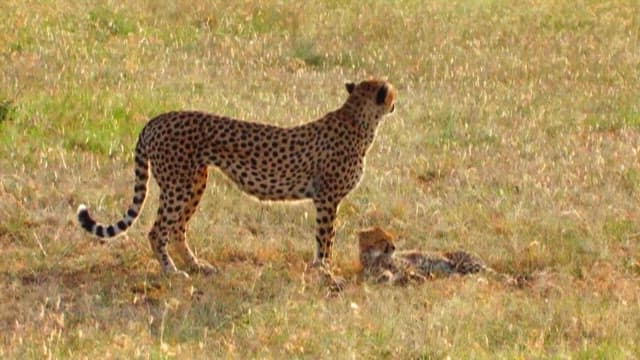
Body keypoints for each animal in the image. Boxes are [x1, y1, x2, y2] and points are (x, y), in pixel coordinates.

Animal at [77, 79, 398, 278]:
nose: (396, 102)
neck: (358, 118)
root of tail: (156, 120)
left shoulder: (325, 198)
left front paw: (321, 269)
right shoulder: (327, 198)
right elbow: (325, 237)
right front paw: (325, 271)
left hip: (195, 182)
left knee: (178, 229)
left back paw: (197, 265)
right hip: (179, 184)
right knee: (157, 231)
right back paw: (171, 271)